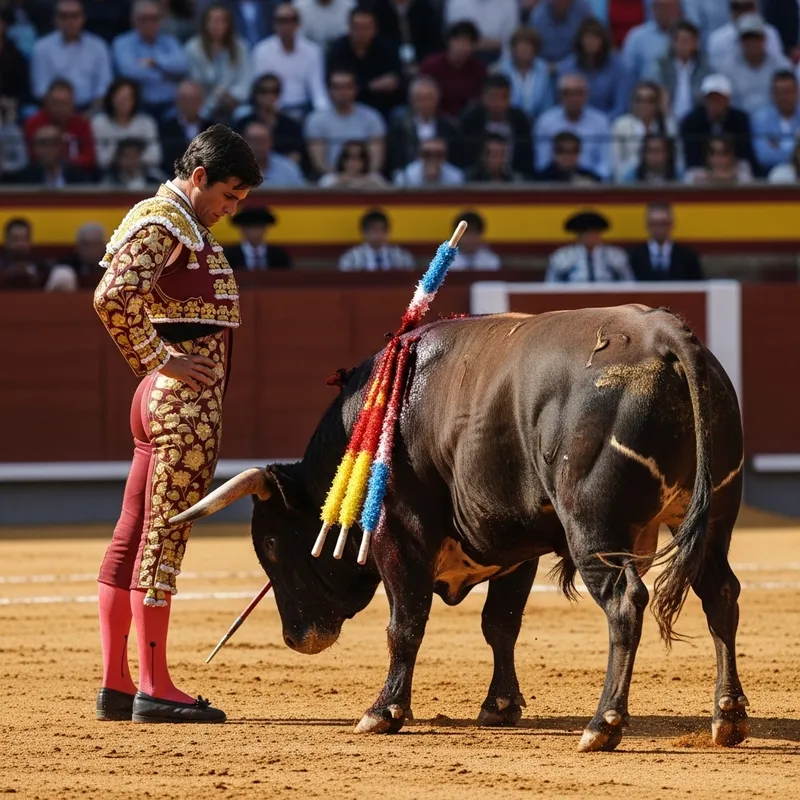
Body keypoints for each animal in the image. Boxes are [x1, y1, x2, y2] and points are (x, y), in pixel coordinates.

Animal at [173, 305, 747, 752]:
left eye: (271, 545)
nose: (296, 637)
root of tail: (665, 335)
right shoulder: (518, 543)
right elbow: (501, 623)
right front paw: (500, 706)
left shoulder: (399, 534)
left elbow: (405, 623)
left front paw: (383, 712)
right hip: (715, 517)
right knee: (720, 593)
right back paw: (728, 716)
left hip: (594, 528)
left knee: (626, 603)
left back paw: (603, 725)